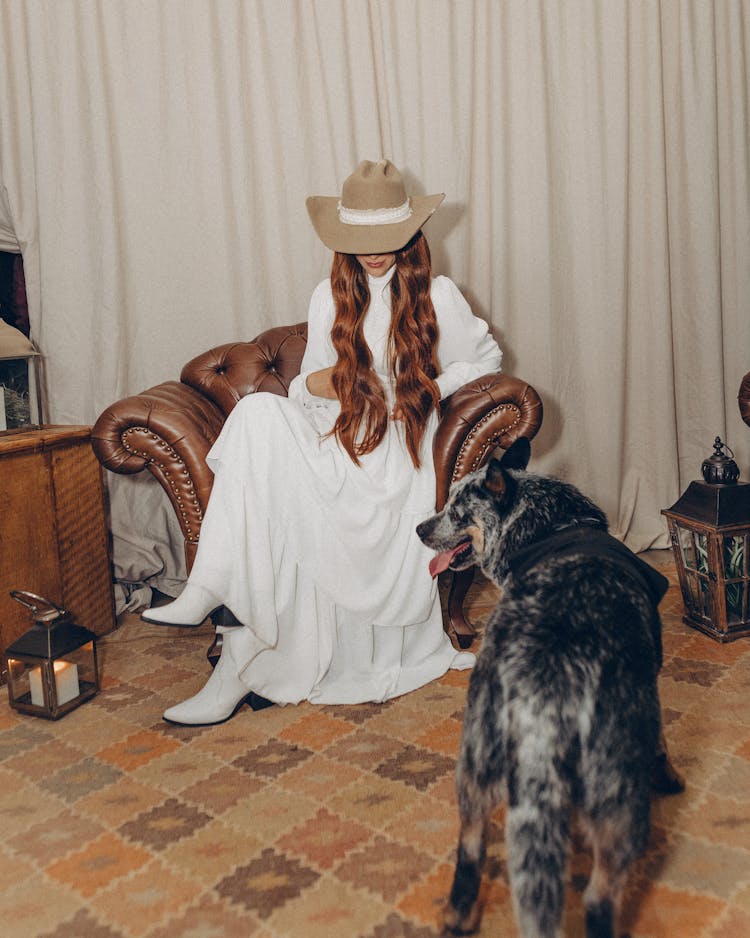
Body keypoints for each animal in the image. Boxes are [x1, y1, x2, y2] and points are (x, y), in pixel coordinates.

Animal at [418, 438, 688, 936]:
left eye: (457, 510)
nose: (419, 527)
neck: (548, 524)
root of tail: (543, 687)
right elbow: (661, 739)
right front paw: (670, 777)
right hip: (618, 799)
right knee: (600, 896)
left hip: (475, 763)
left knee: (470, 851)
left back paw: (457, 917)